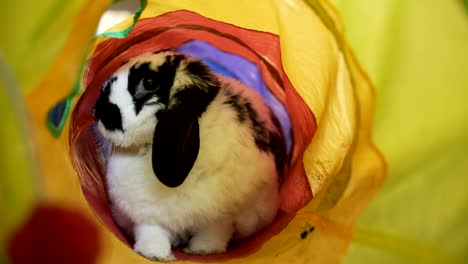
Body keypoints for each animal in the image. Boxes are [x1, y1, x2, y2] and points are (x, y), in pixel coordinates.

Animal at [93, 50, 288, 260]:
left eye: (149, 82)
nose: (98, 111)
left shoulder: (219, 219)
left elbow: (213, 234)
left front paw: (203, 251)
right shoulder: (147, 217)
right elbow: (152, 234)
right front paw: (154, 255)